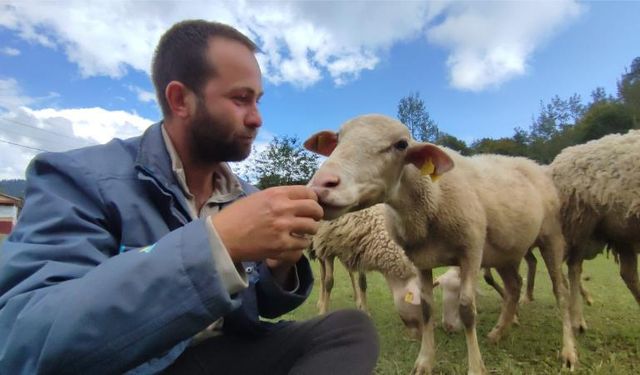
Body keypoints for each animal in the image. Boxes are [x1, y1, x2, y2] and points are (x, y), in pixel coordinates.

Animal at [310, 204, 424, 340]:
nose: (419, 335)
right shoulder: (328, 246)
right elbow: (329, 282)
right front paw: (323, 311)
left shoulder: (359, 249)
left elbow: (362, 283)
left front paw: (364, 309)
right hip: (319, 246)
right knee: (323, 276)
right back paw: (321, 302)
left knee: (350, 274)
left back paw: (357, 299)